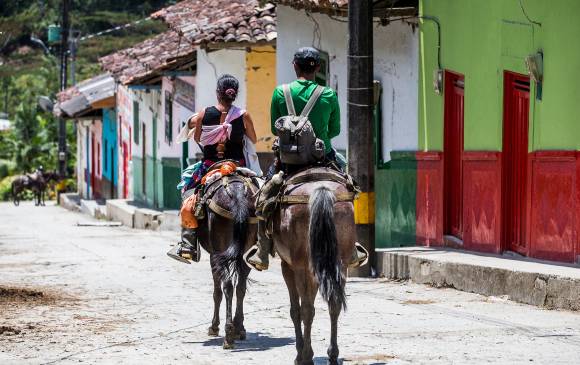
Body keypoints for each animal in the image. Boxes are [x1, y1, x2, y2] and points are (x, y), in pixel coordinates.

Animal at [197, 173, 258, 350]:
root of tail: (237, 194)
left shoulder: (213, 256)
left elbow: (217, 293)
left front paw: (214, 326)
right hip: (246, 250)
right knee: (240, 287)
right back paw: (238, 328)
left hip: (218, 253)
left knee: (228, 286)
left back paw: (228, 334)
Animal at [274, 166, 358, 362]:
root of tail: (321, 189)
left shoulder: (287, 266)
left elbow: (295, 310)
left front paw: (300, 352)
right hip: (340, 264)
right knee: (334, 304)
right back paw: (333, 354)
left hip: (303, 268)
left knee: (306, 310)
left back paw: (305, 356)